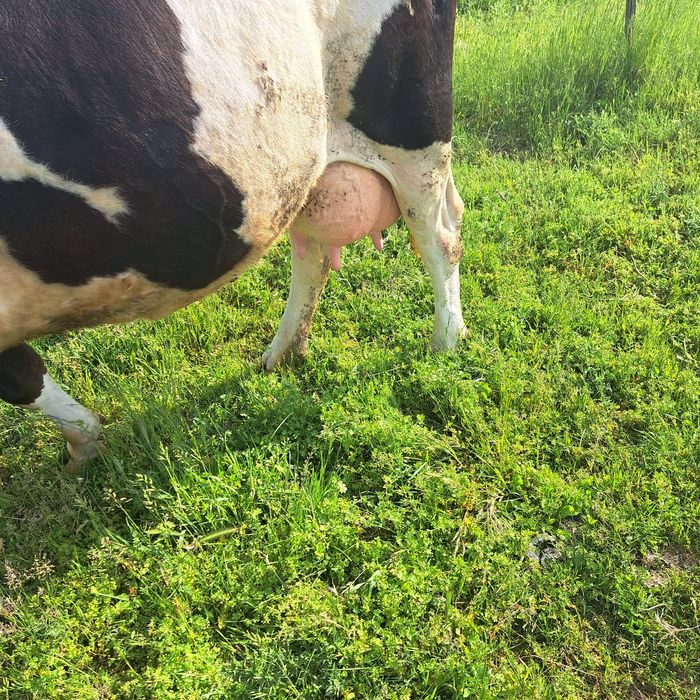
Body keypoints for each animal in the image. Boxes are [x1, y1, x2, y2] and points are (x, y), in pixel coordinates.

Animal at [0, 0, 466, 463]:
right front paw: (84, 438)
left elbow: (21, 380)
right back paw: (282, 353)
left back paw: (446, 343)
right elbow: (21, 377)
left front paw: (84, 439)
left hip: (414, 127)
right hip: (303, 164)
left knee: (440, 236)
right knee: (313, 255)